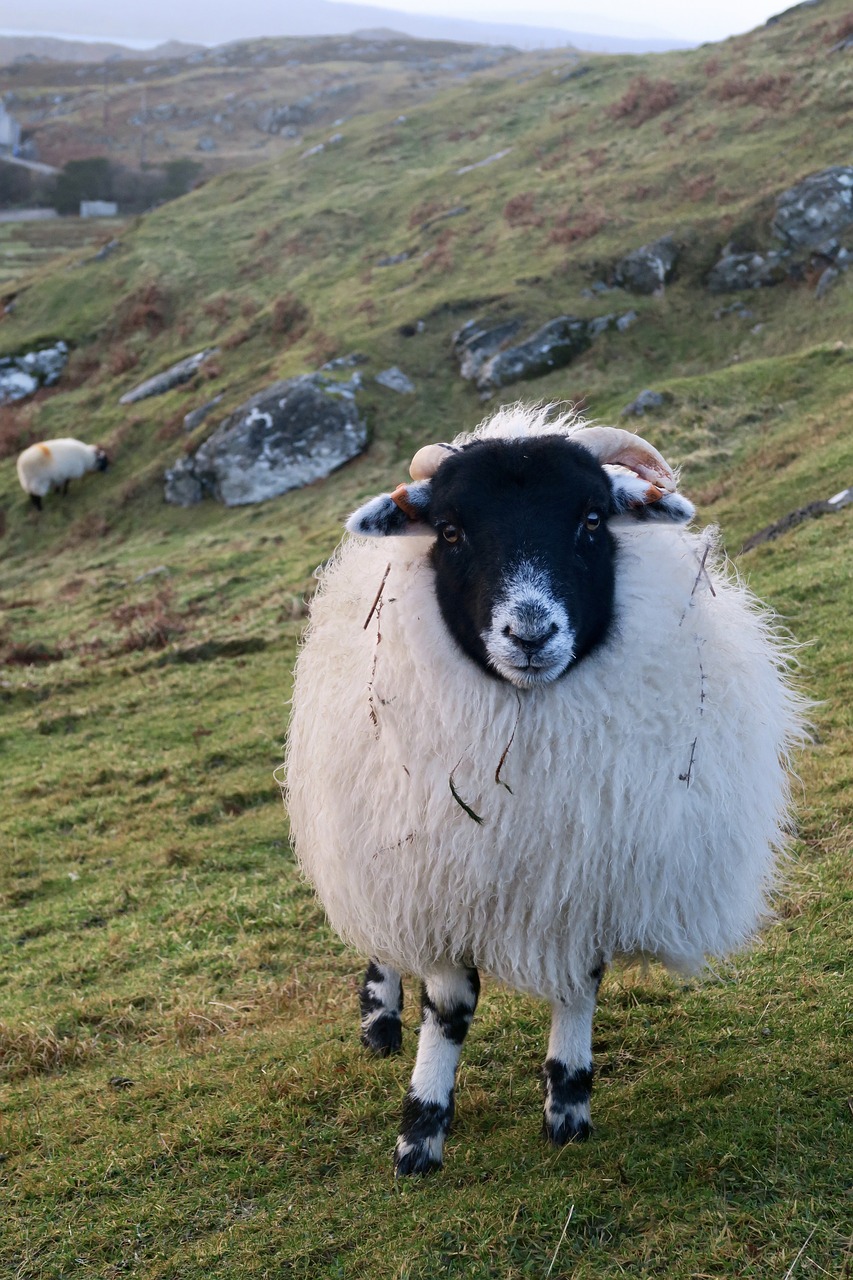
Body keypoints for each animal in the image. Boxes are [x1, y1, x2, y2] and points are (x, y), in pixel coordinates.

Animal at [284, 404, 804, 1172]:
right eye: (450, 530)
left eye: (590, 519)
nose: (529, 632)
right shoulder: (440, 879)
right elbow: (450, 1007)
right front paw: (421, 1130)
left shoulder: (586, 873)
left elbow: (579, 986)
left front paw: (568, 1103)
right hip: (373, 831)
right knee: (379, 933)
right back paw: (380, 1017)